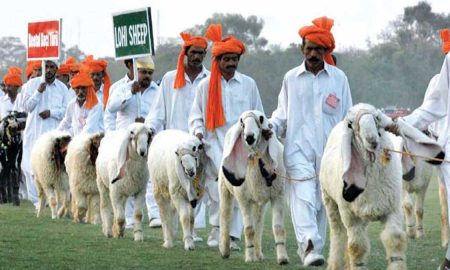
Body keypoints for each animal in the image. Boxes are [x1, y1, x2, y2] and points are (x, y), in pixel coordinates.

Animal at [218, 110, 288, 264]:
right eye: (242, 122)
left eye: (261, 119)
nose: (249, 137)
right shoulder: (243, 199)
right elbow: (249, 229)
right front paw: (249, 257)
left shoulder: (278, 195)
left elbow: (278, 228)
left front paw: (282, 258)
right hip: (225, 190)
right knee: (225, 217)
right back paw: (225, 250)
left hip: (259, 201)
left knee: (259, 223)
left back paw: (258, 253)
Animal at [320, 102, 442, 268]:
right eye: (350, 124)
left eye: (377, 117)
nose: (372, 139)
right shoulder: (350, 216)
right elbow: (356, 247)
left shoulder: (394, 206)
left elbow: (395, 237)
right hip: (331, 203)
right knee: (338, 234)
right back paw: (335, 264)